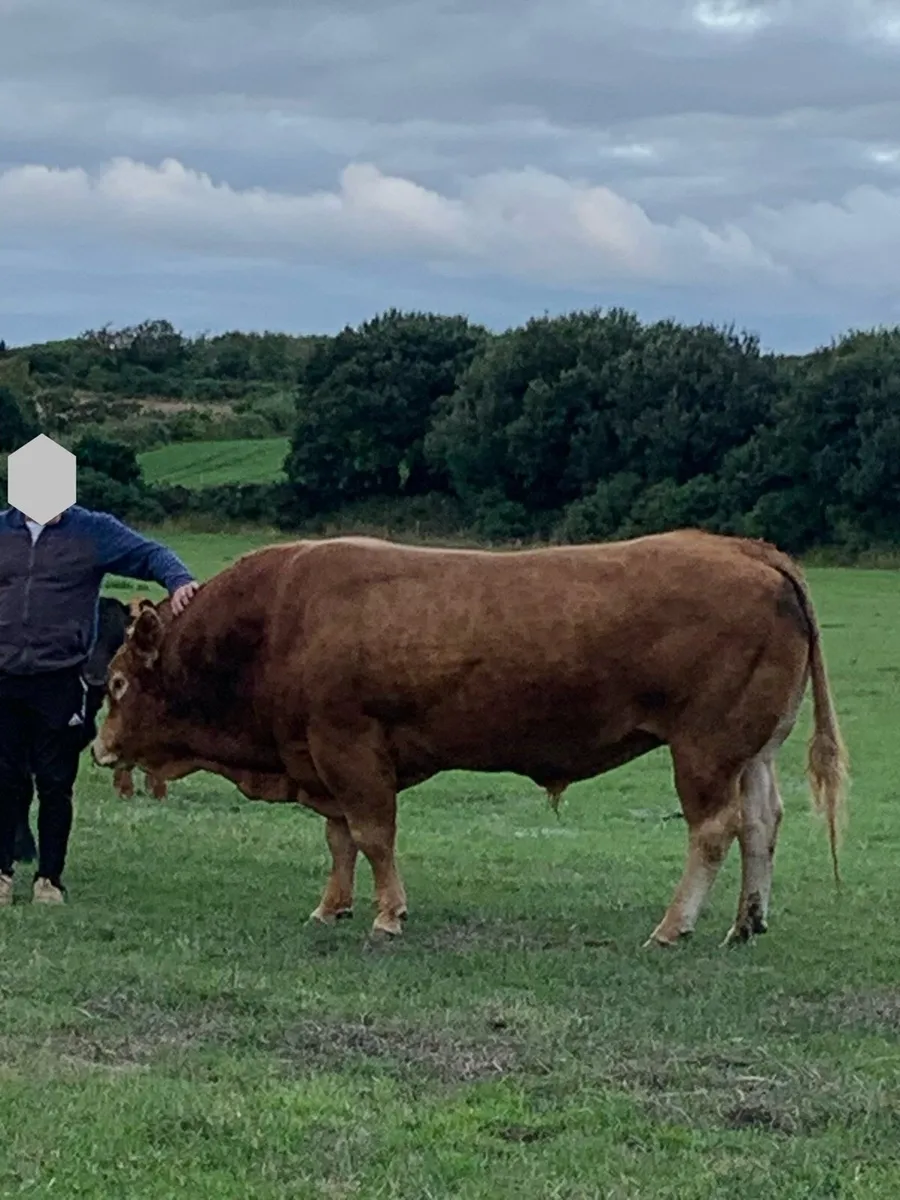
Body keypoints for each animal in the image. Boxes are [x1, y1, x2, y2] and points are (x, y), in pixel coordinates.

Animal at [89, 530, 848, 948]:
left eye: (118, 682)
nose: (98, 748)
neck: (275, 622)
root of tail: (746, 549)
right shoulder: (321, 760)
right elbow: (339, 839)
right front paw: (332, 907)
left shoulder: (350, 748)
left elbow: (372, 835)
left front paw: (387, 915)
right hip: (752, 750)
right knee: (761, 823)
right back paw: (745, 923)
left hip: (704, 748)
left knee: (714, 830)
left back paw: (673, 926)